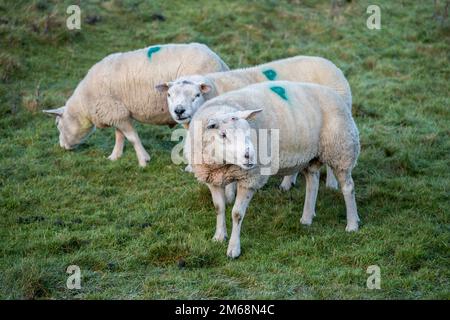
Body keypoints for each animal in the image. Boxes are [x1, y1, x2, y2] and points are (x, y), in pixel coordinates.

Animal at [43, 42, 229, 166]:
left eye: (58, 124)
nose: (62, 147)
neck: (85, 104)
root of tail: (219, 62)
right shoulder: (116, 112)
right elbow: (119, 136)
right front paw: (115, 156)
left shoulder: (115, 112)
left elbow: (132, 138)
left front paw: (143, 160)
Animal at [158, 55, 352, 190]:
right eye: (169, 94)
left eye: (196, 95)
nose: (179, 111)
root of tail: (330, 64)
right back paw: (287, 182)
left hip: (333, 126)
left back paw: (332, 184)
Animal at [186, 80, 362, 258]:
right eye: (222, 135)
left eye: (248, 131)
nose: (250, 156)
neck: (223, 165)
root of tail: (335, 95)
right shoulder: (212, 178)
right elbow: (219, 208)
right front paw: (219, 236)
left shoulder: (250, 179)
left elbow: (237, 214)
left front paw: (233, 249)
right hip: (310, 156)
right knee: (312, 182)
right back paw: (306, 219)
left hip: (341, 150)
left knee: (348, 187)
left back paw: (352, 224)